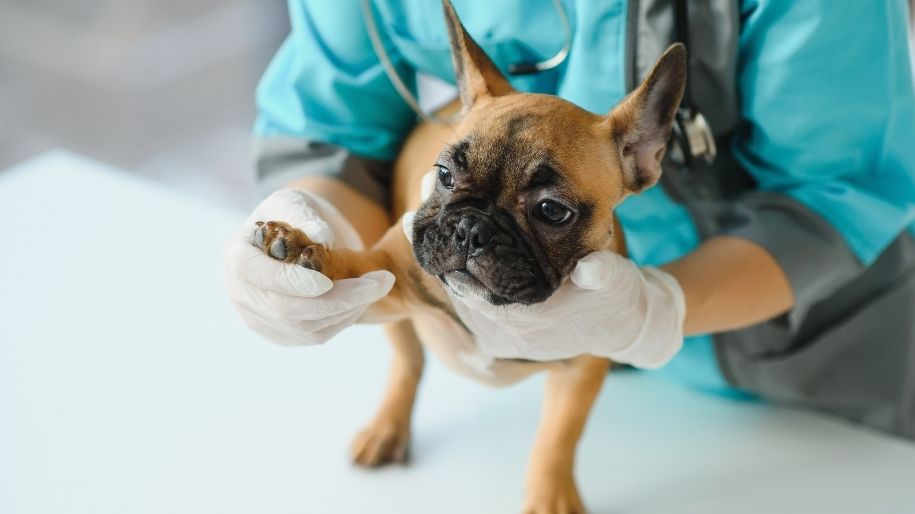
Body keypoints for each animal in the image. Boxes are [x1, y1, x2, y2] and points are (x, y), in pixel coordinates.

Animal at [254, 3, 684, 508]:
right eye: (444, 175)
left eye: (552, 211)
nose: (471, 229)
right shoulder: (392, 276)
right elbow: (356, 270)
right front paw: (303, 251)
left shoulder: (582, 367)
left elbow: (558, 437)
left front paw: (549, 498)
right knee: (407, 363)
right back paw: (387, 428)